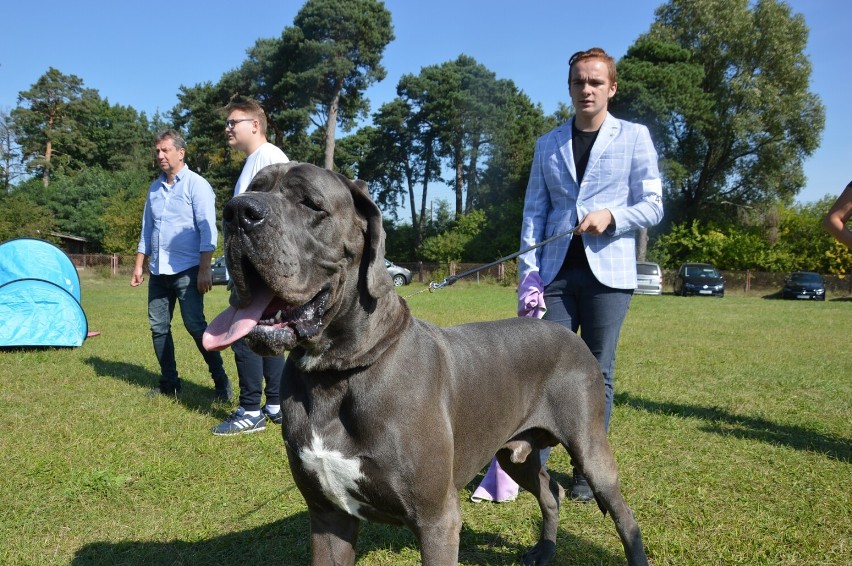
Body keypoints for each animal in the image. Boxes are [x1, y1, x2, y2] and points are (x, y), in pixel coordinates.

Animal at [205, 162, 644, 564]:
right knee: (550, 490)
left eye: (311, 203)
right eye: (252, 187)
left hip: (590, 447)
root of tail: (567, 333)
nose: (236, 212)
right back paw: (544, 550)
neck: (337, 374)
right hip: (512, 451)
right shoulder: (328, 517)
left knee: (624, 515)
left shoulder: (437, 520)